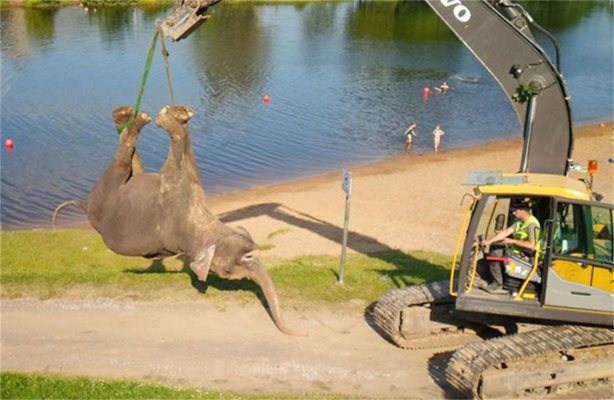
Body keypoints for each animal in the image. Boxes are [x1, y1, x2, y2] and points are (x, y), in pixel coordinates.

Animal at [54, 104, 304, 336]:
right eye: (244, 259)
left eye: (227, 273)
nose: (299, 332)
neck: (199, 228)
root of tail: (86, 207)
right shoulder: (183, 189)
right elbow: (183, 156)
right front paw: (179, 115)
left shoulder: (176, 191)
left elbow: (178, 155)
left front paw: (169, 118)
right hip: (107, 196)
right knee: (130, 163)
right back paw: (128, 116)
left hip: (106, 195)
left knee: (125, 163)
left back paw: (130, 118)